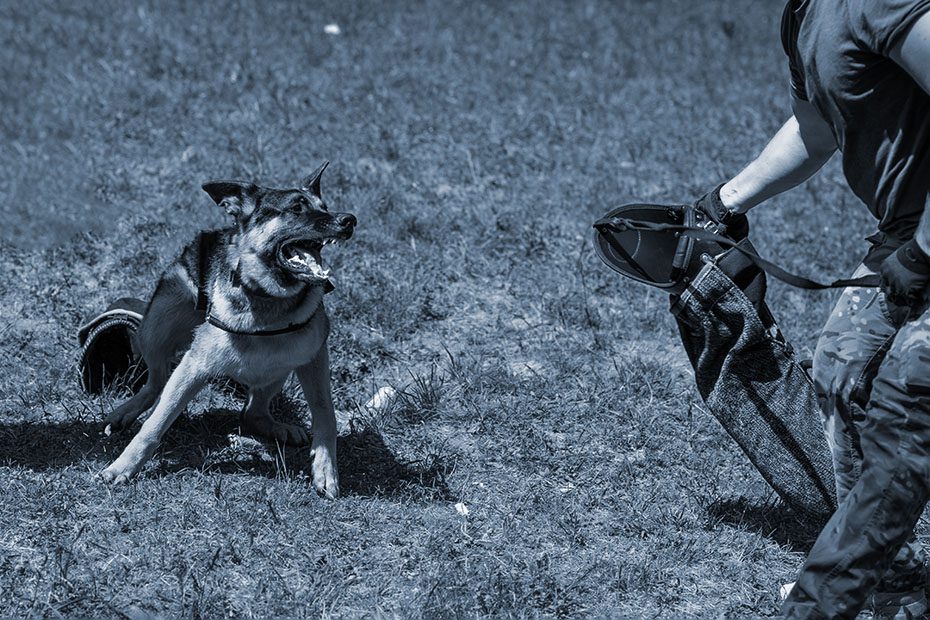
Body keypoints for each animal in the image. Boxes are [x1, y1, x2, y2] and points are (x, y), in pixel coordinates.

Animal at [98, 161, 352, 498]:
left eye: (325, 207)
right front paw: (123, 466)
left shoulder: (313, 359)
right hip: (156, 329)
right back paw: (126, 411)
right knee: (157, 380)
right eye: (297, 208)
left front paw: (325, 468)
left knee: (252, 412)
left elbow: (326, 413)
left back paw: (278, 427)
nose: (349, 220)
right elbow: (155, 422)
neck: (267, 299)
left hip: (279, 365)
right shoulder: (193, 366)